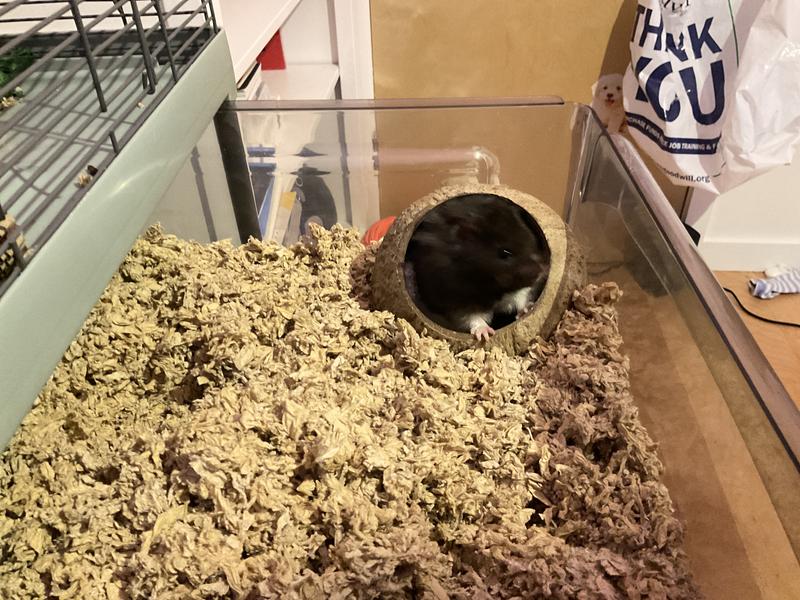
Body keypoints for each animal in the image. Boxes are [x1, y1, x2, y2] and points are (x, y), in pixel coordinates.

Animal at [404, 193, 550, 341]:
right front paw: (485, 335)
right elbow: (473, 317)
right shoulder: (456, 300)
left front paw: (528, 309)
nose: (541, 271)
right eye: (504, 253)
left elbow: (520, 297)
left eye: (531, 239)